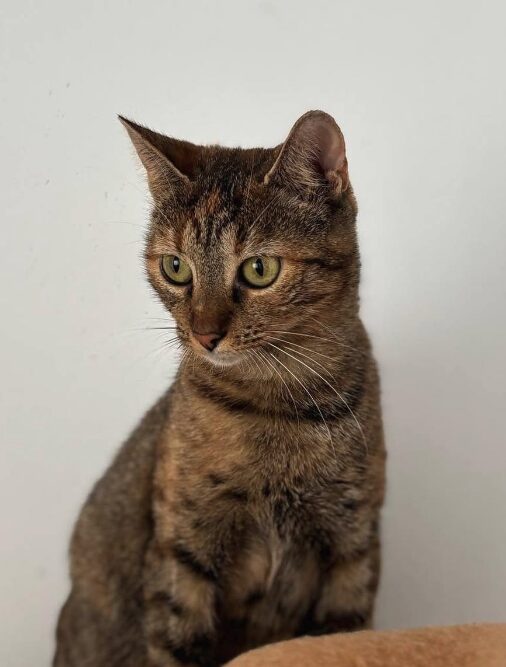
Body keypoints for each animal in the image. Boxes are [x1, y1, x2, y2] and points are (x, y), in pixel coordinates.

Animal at [53, 111, 386, 667]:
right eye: (176, 267)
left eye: (259, 269)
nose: (205, 334)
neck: (277, 409)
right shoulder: (182, 550)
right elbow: (176, 642)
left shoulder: (353, 544)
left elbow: (346, 636)